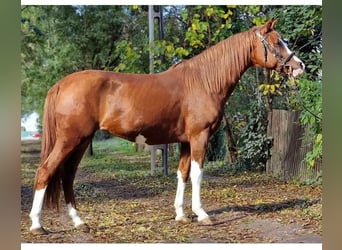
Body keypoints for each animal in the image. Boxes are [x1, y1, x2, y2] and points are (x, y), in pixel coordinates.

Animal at [29, 18, 304, 234]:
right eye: (277, 42)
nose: (299, 66)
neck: (204, 81)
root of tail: (61, 84)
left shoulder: (185, 141)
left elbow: (182, 174)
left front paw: (181, 215)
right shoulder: (199, 137)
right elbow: (197, 174)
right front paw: (202, 214)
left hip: (81, 141)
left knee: (67, 176)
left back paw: (79, 222)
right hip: (70, 139)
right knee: (46, 171)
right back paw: (37, 225)